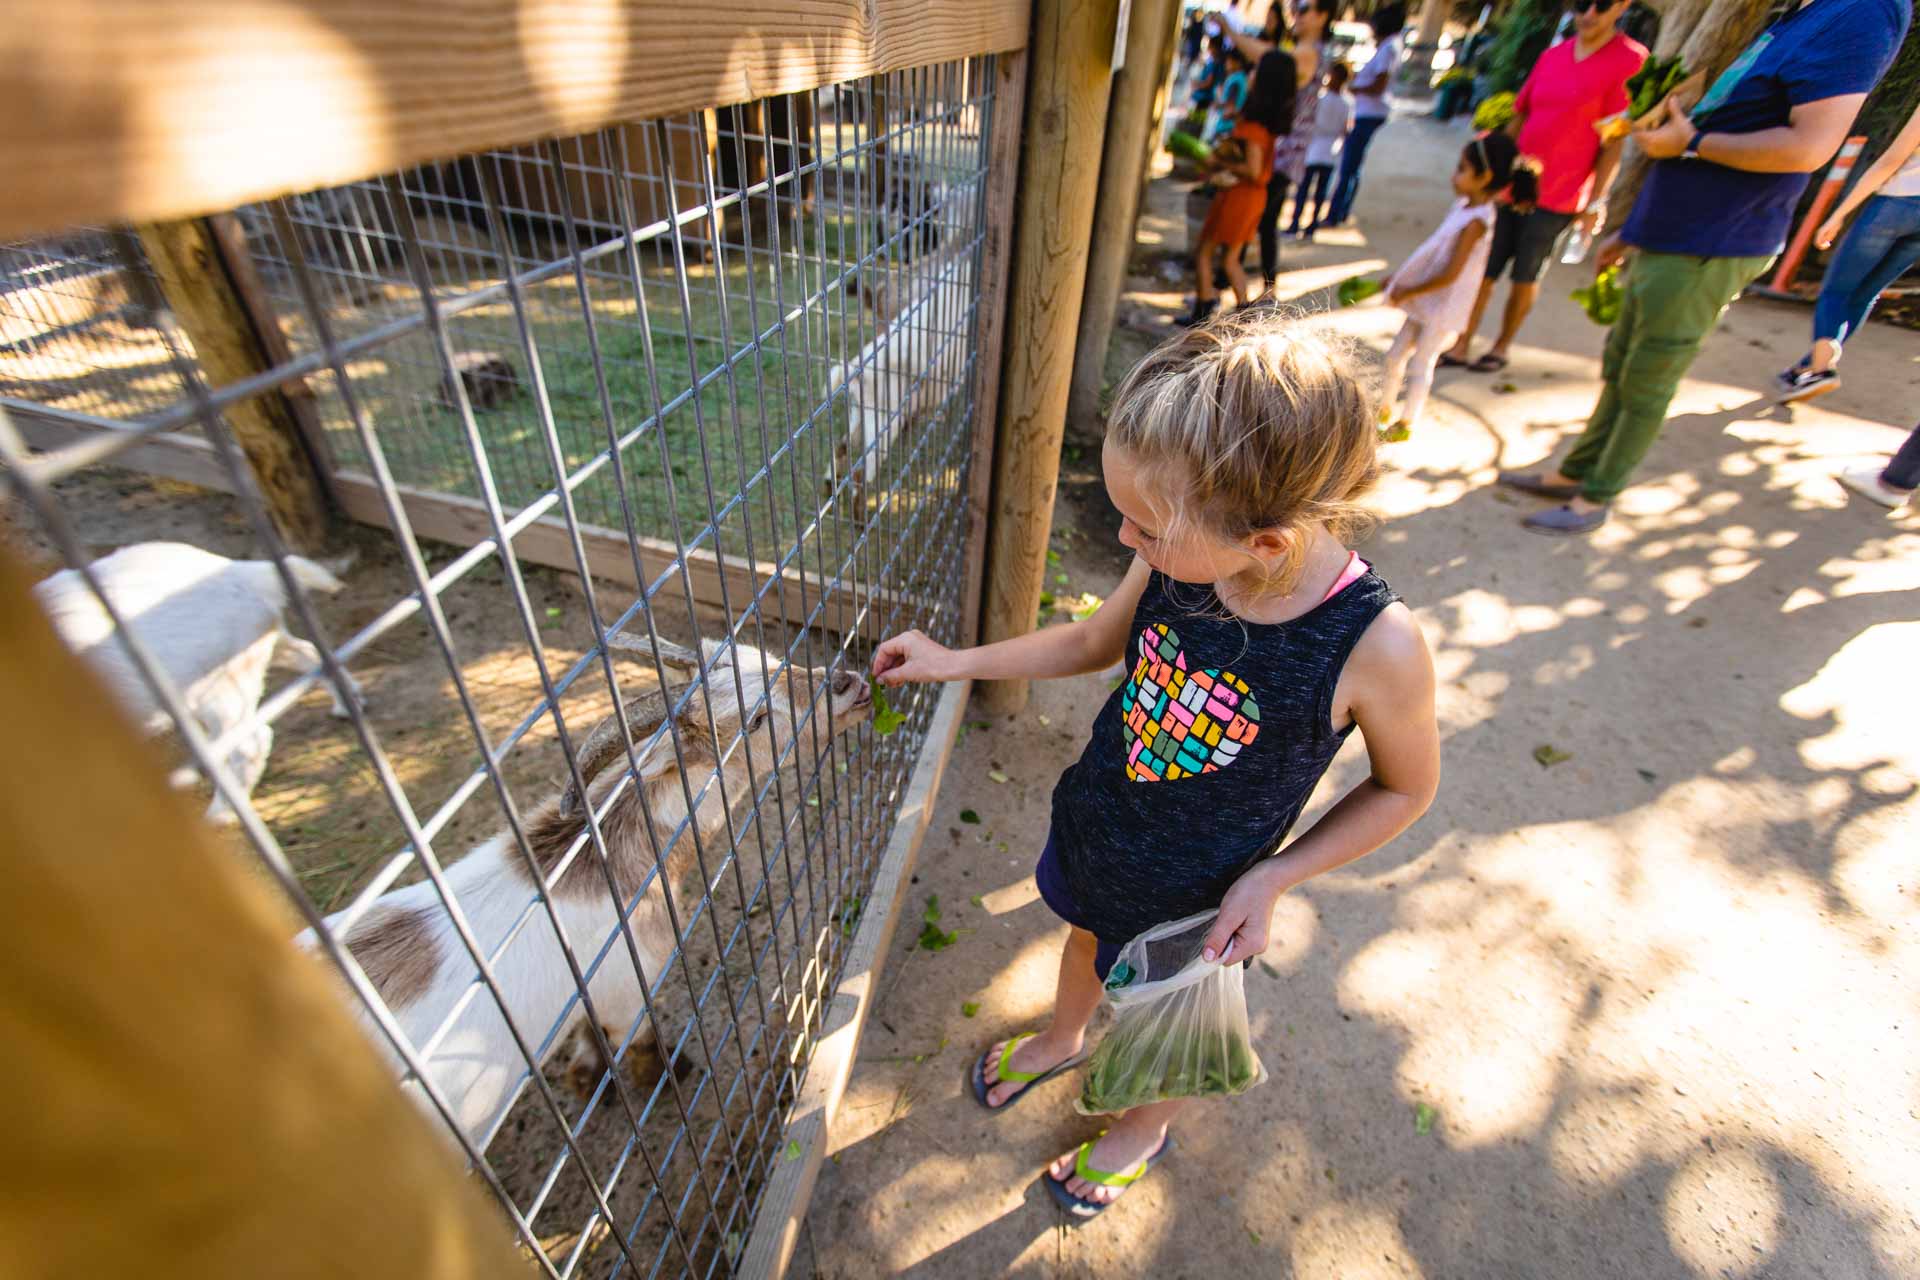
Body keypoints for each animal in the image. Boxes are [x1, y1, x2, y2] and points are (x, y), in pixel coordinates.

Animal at [35, 545, 360, 825]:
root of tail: (244, 573)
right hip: (260, 644)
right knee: (310, 653)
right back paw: (348, 702)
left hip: (217, 690)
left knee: (247, 743)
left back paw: (223, 812)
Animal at [309, 637, 871, 1143]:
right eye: (755, 719)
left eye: (770, 658)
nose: (850, 684)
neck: (591, 867)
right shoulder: (629, 988)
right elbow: (635, 1041)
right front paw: (665, 1075)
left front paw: (587, 1080)